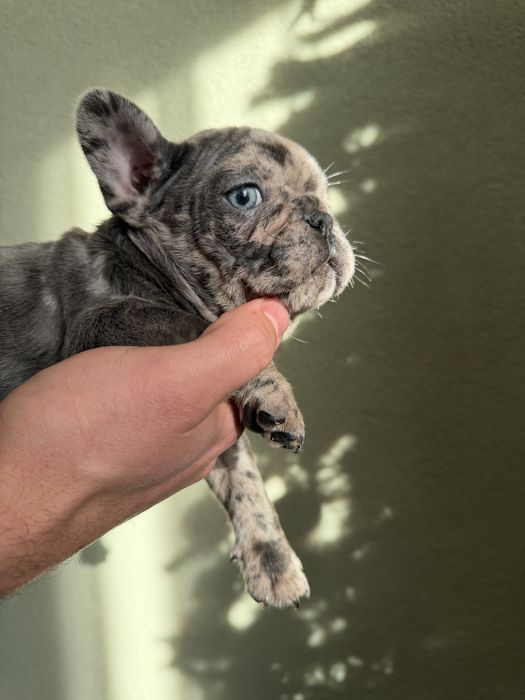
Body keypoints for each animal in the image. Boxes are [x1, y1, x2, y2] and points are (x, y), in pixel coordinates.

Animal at [0, 89, 355, 607]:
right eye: (244, 196)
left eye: (325, 196)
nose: (323, 218)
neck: (146, 265)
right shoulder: (102, 322)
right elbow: (198, 325)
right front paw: (276, 393)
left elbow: (244, 474)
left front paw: (272, 557)